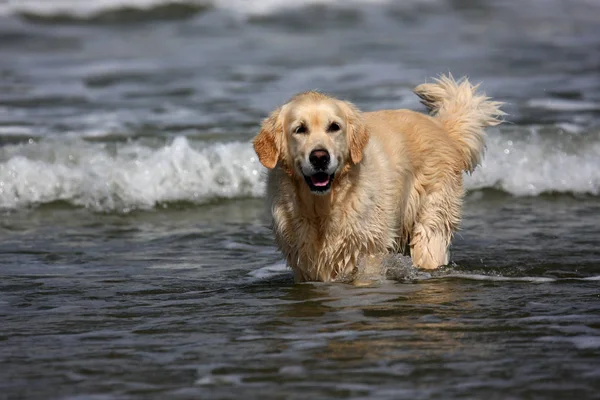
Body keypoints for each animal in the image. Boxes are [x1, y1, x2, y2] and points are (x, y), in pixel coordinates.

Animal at [252, 75, 502, 282]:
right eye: (299, 129)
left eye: (334, 127)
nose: (320, 157)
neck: (322, 206)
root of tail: (441, 127)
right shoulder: (304, 260)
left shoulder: (367, 252)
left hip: (431, 221)